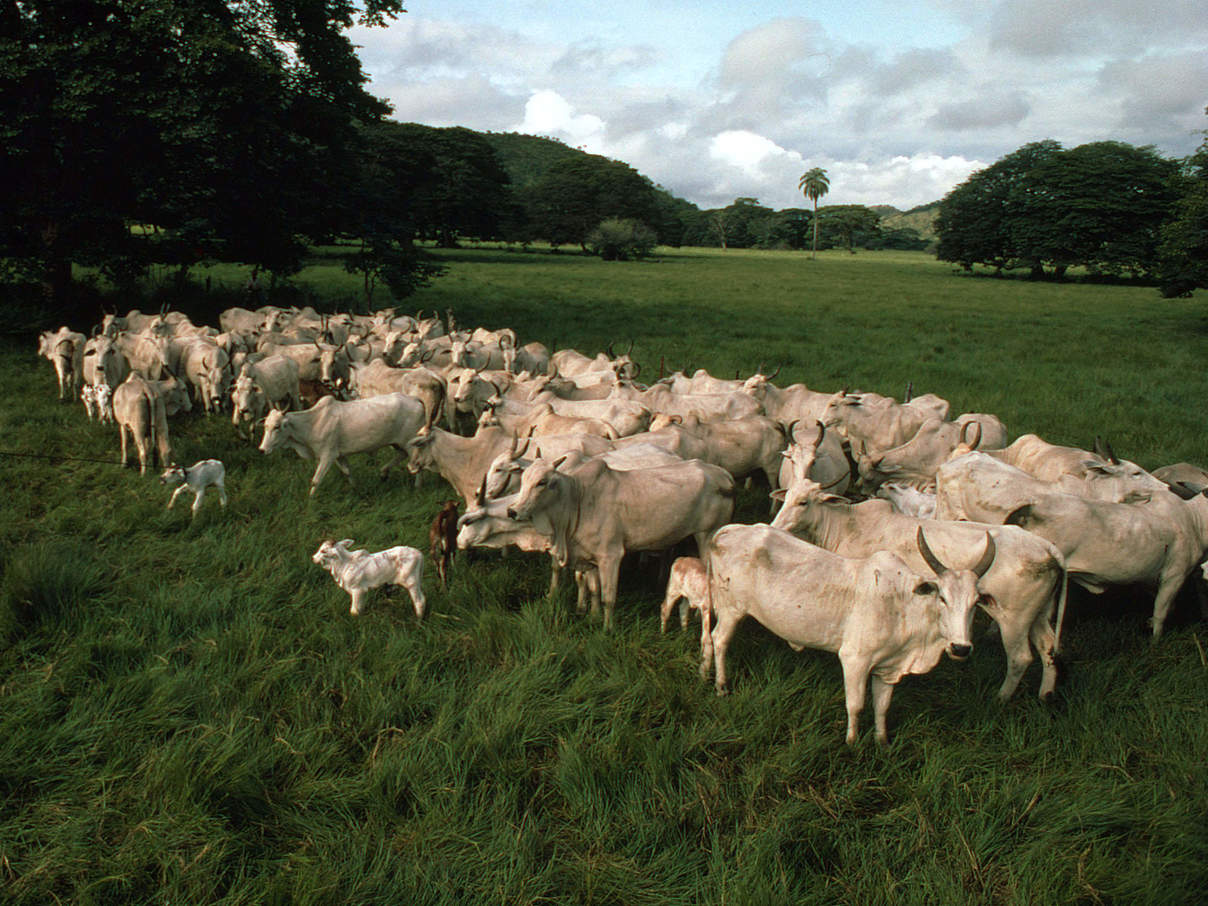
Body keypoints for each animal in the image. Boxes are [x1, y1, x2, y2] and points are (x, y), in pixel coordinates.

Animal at [257, 393, 427, 497]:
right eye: (265, 426)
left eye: (277, 426)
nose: (262, 449)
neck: (313, 422)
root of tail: (415, 399)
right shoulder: (339, 455)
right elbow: (347, 472)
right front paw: (356, 489)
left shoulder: (328, 455)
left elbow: (316, 480)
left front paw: (310, 501)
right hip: (398, 443)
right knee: (402, 455)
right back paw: (384, 473)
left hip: (410, 443)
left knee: (416, 464)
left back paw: (418, 487)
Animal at [502, 456, 729, 628]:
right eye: (523, 479)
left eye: (541, 482)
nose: (512, 511)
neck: (577, 501)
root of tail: (723, 475)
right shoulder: (590, 556)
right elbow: (594, 589)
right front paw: (593, 616)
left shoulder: (610, 556)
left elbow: (608, 598)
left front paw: (607, 629)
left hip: (707, 536)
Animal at [705, 521, 985, 748]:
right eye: (943, 598)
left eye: (975, 603)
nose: (961, 648)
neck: (903, 603)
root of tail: (729, 531)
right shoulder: (855, 659)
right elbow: (856, 705)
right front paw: (852, 742)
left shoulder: (888, 667)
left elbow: (882, 707)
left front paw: (882, 742)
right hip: (732, 609)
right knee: (719, 640)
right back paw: (721, 685)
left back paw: (704, 671)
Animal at [773, 475, 1067, 700]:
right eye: (786, 498)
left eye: (803, 502)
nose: (776, 526)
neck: (847, 525)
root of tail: (1047, 548)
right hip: (1037, 614)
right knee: (1048, 648)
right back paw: (1046, 694)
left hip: (1013, 620)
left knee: (1020, 657)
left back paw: (1001, 697)